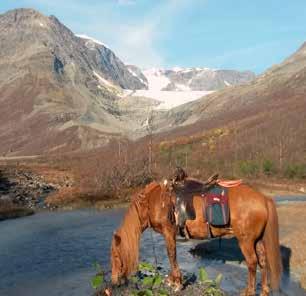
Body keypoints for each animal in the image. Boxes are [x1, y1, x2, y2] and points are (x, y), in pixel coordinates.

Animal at [110, 171, 282, 296]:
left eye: (116, 256)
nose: (114, 281)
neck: (152, 201)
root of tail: (263, 198)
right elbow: (171, 255)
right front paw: (172, 280)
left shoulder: (168, 232)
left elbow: (171, 255)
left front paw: (177, 283)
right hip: (257, 240)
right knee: (262, 261)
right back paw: (264, 290)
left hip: (245, 241)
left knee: (252, 263)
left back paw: (249, 292)